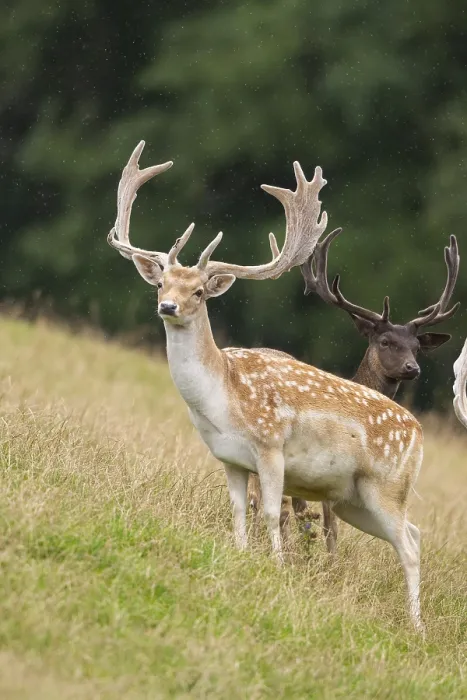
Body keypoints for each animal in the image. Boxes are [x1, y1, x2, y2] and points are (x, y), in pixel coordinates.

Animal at [107, 141, 427, 630]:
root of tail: (420, 433)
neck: (225, 400)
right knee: (413, 533)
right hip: (354, 499)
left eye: (199, 291)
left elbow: (274, 514)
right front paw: (240, 557)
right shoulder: (230, 459)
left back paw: (417, 627)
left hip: (386, 485)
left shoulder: (272, 447)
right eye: (160, 282)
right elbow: (241, 511)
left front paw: (276, 570)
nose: (167, 306)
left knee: (408, 546)